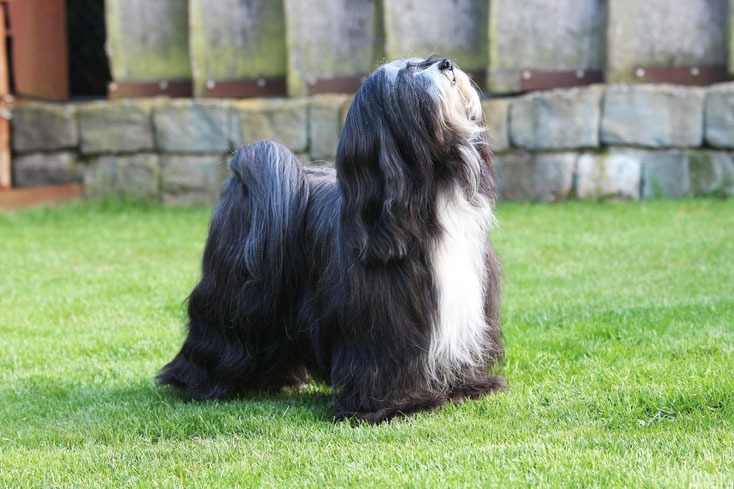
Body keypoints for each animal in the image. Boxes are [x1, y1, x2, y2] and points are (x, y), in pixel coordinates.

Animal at [159, 56, 506, 424]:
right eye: (410, 73)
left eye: (425, 59)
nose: (446, 63)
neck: (433, 194)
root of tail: (245, 174)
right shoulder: (381, 322)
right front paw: (398, 404)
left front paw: (468, 387)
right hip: (230, 297)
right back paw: (196, 381)